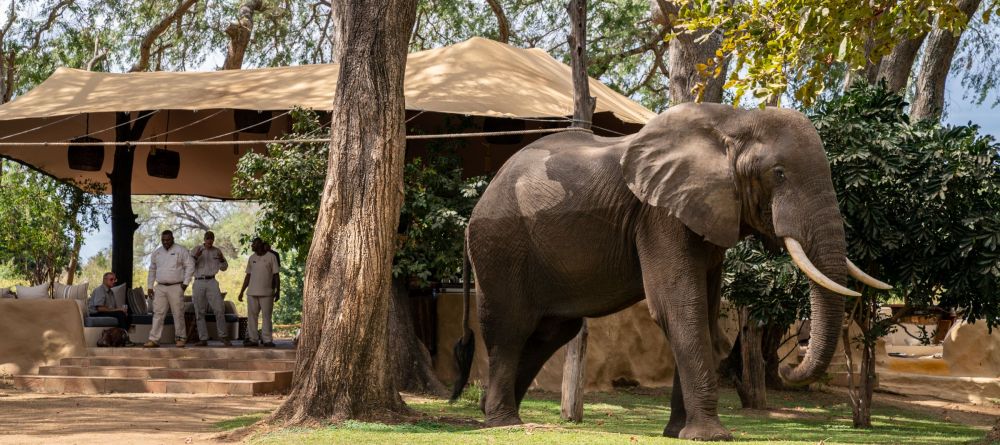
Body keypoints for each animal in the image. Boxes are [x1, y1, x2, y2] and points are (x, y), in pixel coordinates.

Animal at [450, 102, 888, 438]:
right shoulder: (658, 215)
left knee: (549, 332)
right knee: (510, 329)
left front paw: (679, 433)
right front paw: (712, 436)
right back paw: (504, 424)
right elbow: (678, 307)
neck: (734, 121)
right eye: (778, 174)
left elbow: (703, 312)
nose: (790, 361)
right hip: (500, 246)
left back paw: (489, 411)